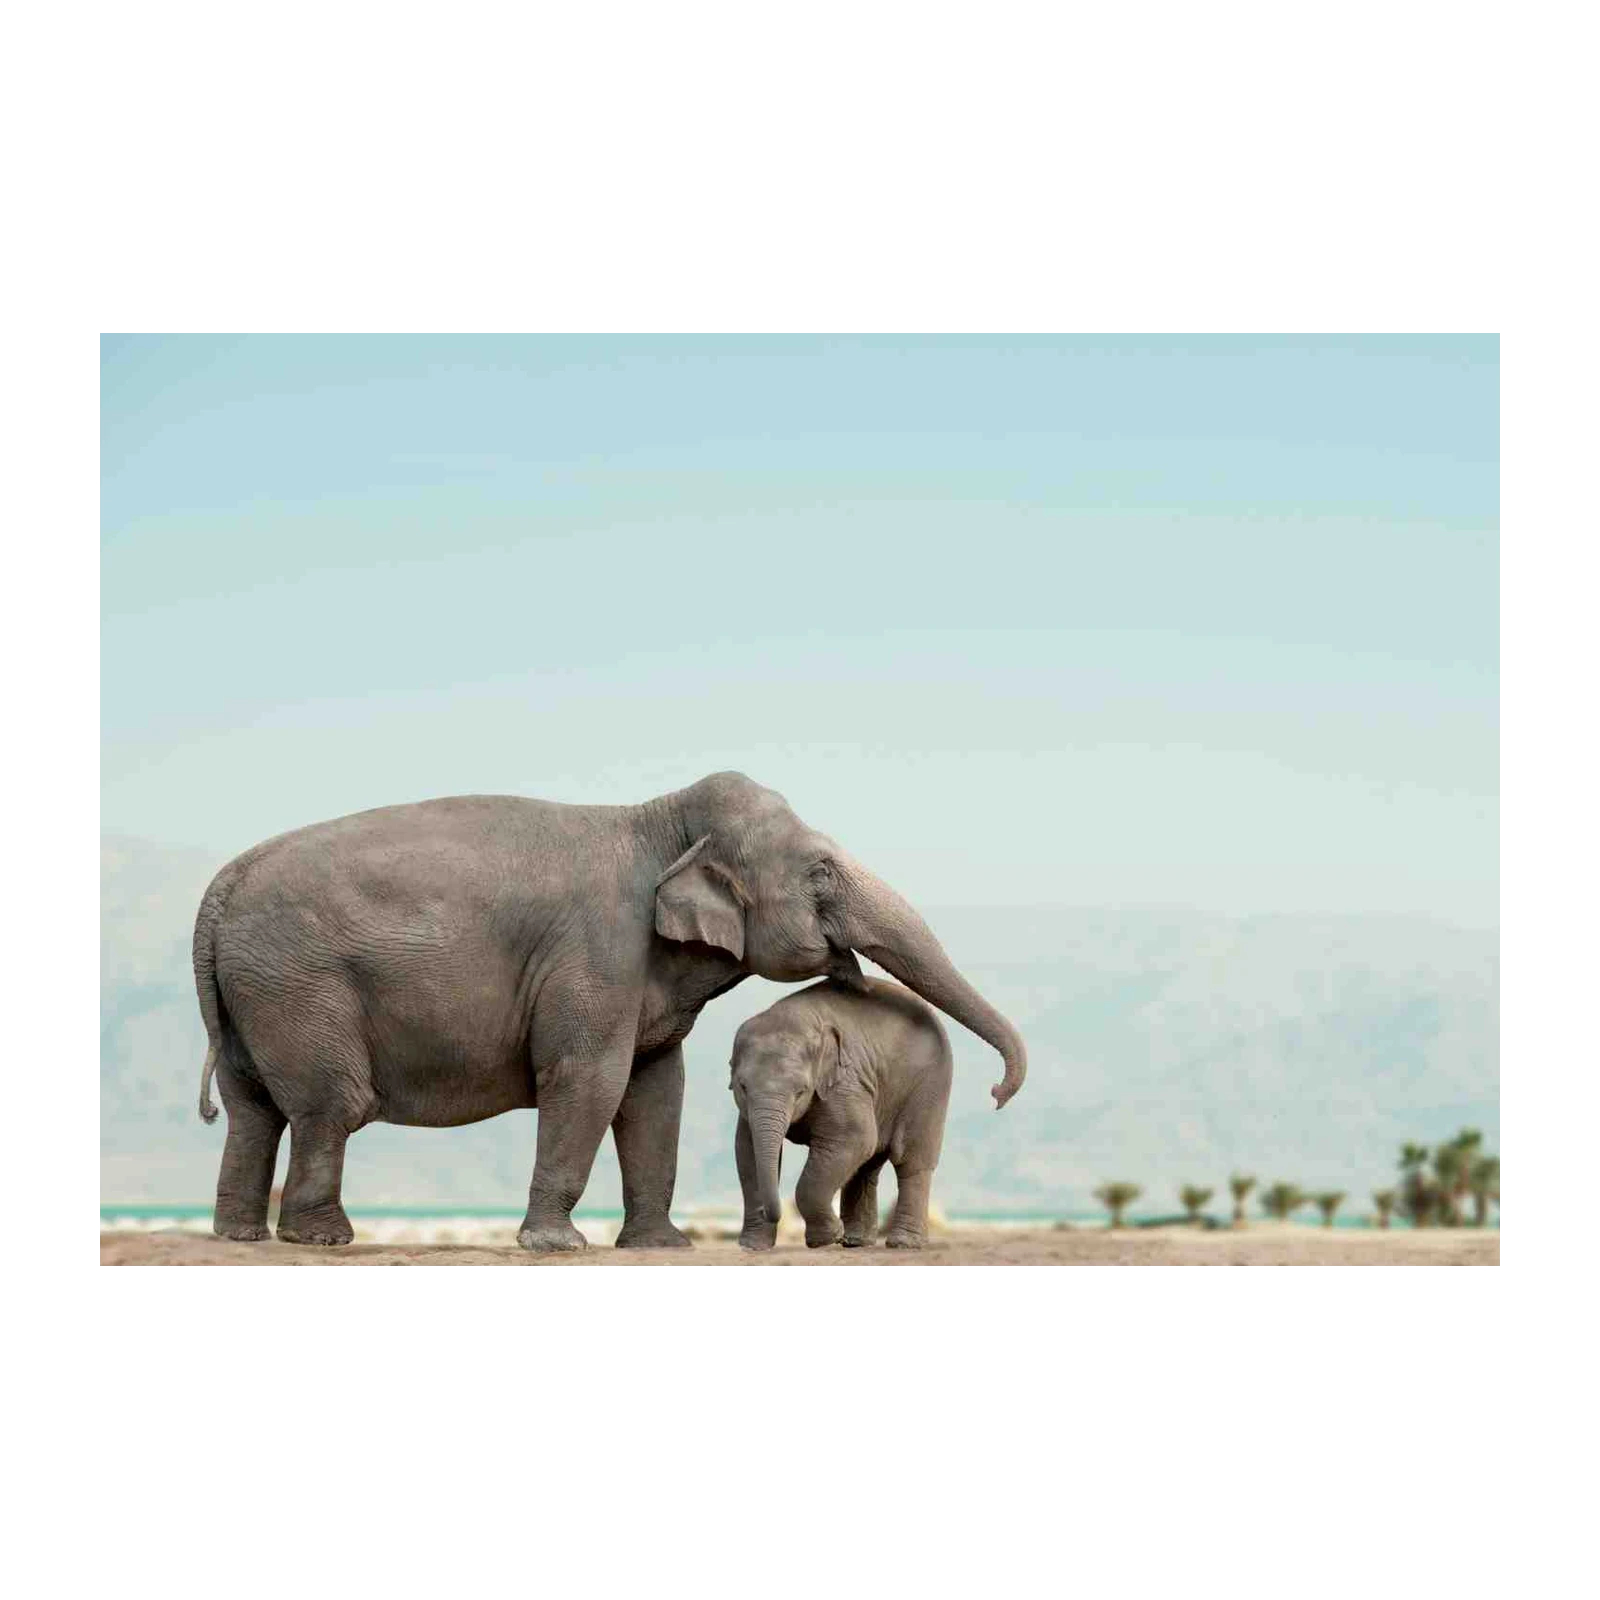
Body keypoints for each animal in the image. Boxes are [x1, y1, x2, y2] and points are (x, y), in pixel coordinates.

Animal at [731, 976, 954, 1251]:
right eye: (742, 1087)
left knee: (911, 1160)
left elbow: (855, 1138)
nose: (768, 1211)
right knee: (867, 1165)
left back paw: (902, 1243)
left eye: (801, 1091)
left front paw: (826, 1239)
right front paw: (752, 1246)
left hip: (930, 1087)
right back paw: (856, 1241)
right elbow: (746, 1149)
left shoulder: (845, 1082)